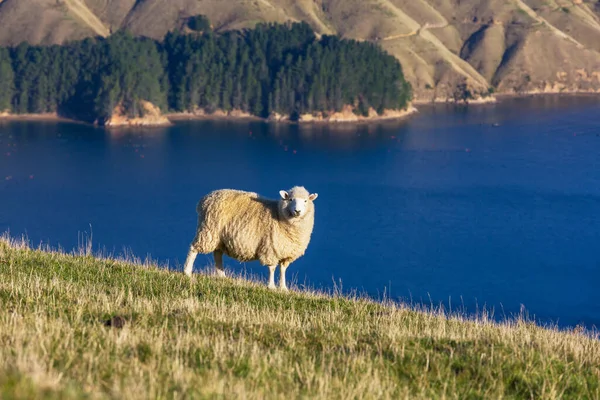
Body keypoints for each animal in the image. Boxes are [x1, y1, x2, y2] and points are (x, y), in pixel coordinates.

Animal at [183, 186, 318, 290]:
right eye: (290, 199)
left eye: (305, 201)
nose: (297, 211)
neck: (279, 214)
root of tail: (206, 198)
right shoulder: (271, 248)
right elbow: (272, 268)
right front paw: (271, 286)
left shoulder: (286, 253)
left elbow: (283, 270)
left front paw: (283, 288)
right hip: (208, 230)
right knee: (194, 248)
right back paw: (187, 272)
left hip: (219, 238)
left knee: (217, 254)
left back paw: (222, 276)